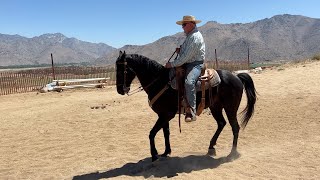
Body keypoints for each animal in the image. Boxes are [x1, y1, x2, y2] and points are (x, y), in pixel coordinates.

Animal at [116, 50, 256, 162]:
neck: (160, 81)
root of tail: (236, 77)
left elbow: (152, 133)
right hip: (215, 107)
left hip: (230, 108)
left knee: (235, 127)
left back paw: (232, 154)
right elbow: (166, 132)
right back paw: (211, 147)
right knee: (221, 123)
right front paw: (166, 152)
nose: (120, 90)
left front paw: (154, 155)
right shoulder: (163, 115)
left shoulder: (166, 115)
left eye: (123, 69)